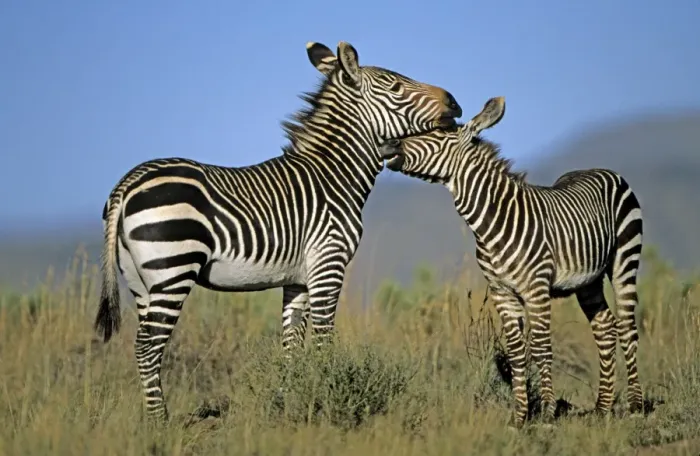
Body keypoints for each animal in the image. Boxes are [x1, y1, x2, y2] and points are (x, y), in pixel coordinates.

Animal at [93, 40, 463, 421]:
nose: (454, 102)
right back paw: (160, 422)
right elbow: (323, 340)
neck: (335, 176)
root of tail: (128, 182)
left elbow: (291, 345)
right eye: (397, 88)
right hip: (173, 269)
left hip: (140, 280)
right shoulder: (328, 263)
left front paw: (289, 403)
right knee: (147, 347)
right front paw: (328, 398)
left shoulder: (298, 279)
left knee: (144, 345)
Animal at [379, 96, 643, 427]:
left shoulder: (536, 289)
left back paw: (636, 406)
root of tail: (601, 169)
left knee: (627, 327)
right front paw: (519, 417)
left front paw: (546, 414)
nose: (386, 145)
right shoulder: (501, 292)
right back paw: (602, 407)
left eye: (437, 135)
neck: (491, 223)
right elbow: (517, 352)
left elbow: (541, 348)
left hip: (624, 259)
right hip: (588, 281)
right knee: (605, 327)